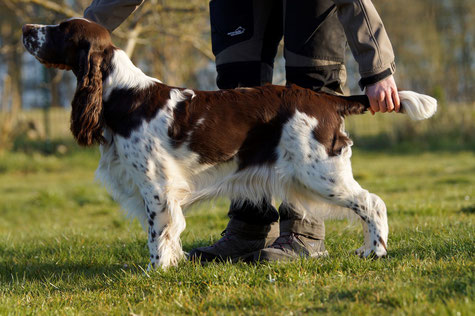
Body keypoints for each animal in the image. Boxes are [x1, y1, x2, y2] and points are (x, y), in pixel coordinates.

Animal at [22, 17, 438, 270]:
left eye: (60, 30)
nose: (26, 27)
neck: (123, 93)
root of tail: (327, 100)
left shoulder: (156, 186)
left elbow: (158, 233)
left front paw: (155, 271)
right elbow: (169, 233)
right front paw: (173, 263)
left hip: (320, 172)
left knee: (372, 202)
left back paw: (374, 251)